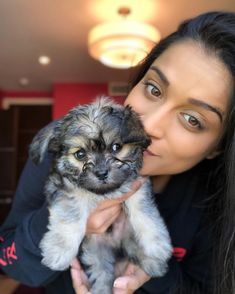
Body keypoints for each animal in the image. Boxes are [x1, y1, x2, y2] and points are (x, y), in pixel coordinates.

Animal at [29, 97, 173, 292]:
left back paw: (154, 263)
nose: (102, 173)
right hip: (95, 251)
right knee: (101, 272)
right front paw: (59, 250)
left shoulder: (137, 186)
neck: (102, 193)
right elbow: (71, 215)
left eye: (116, 147)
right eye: (80, 154)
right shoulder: (65, 189)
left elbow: (145, 213)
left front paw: (157, 244)